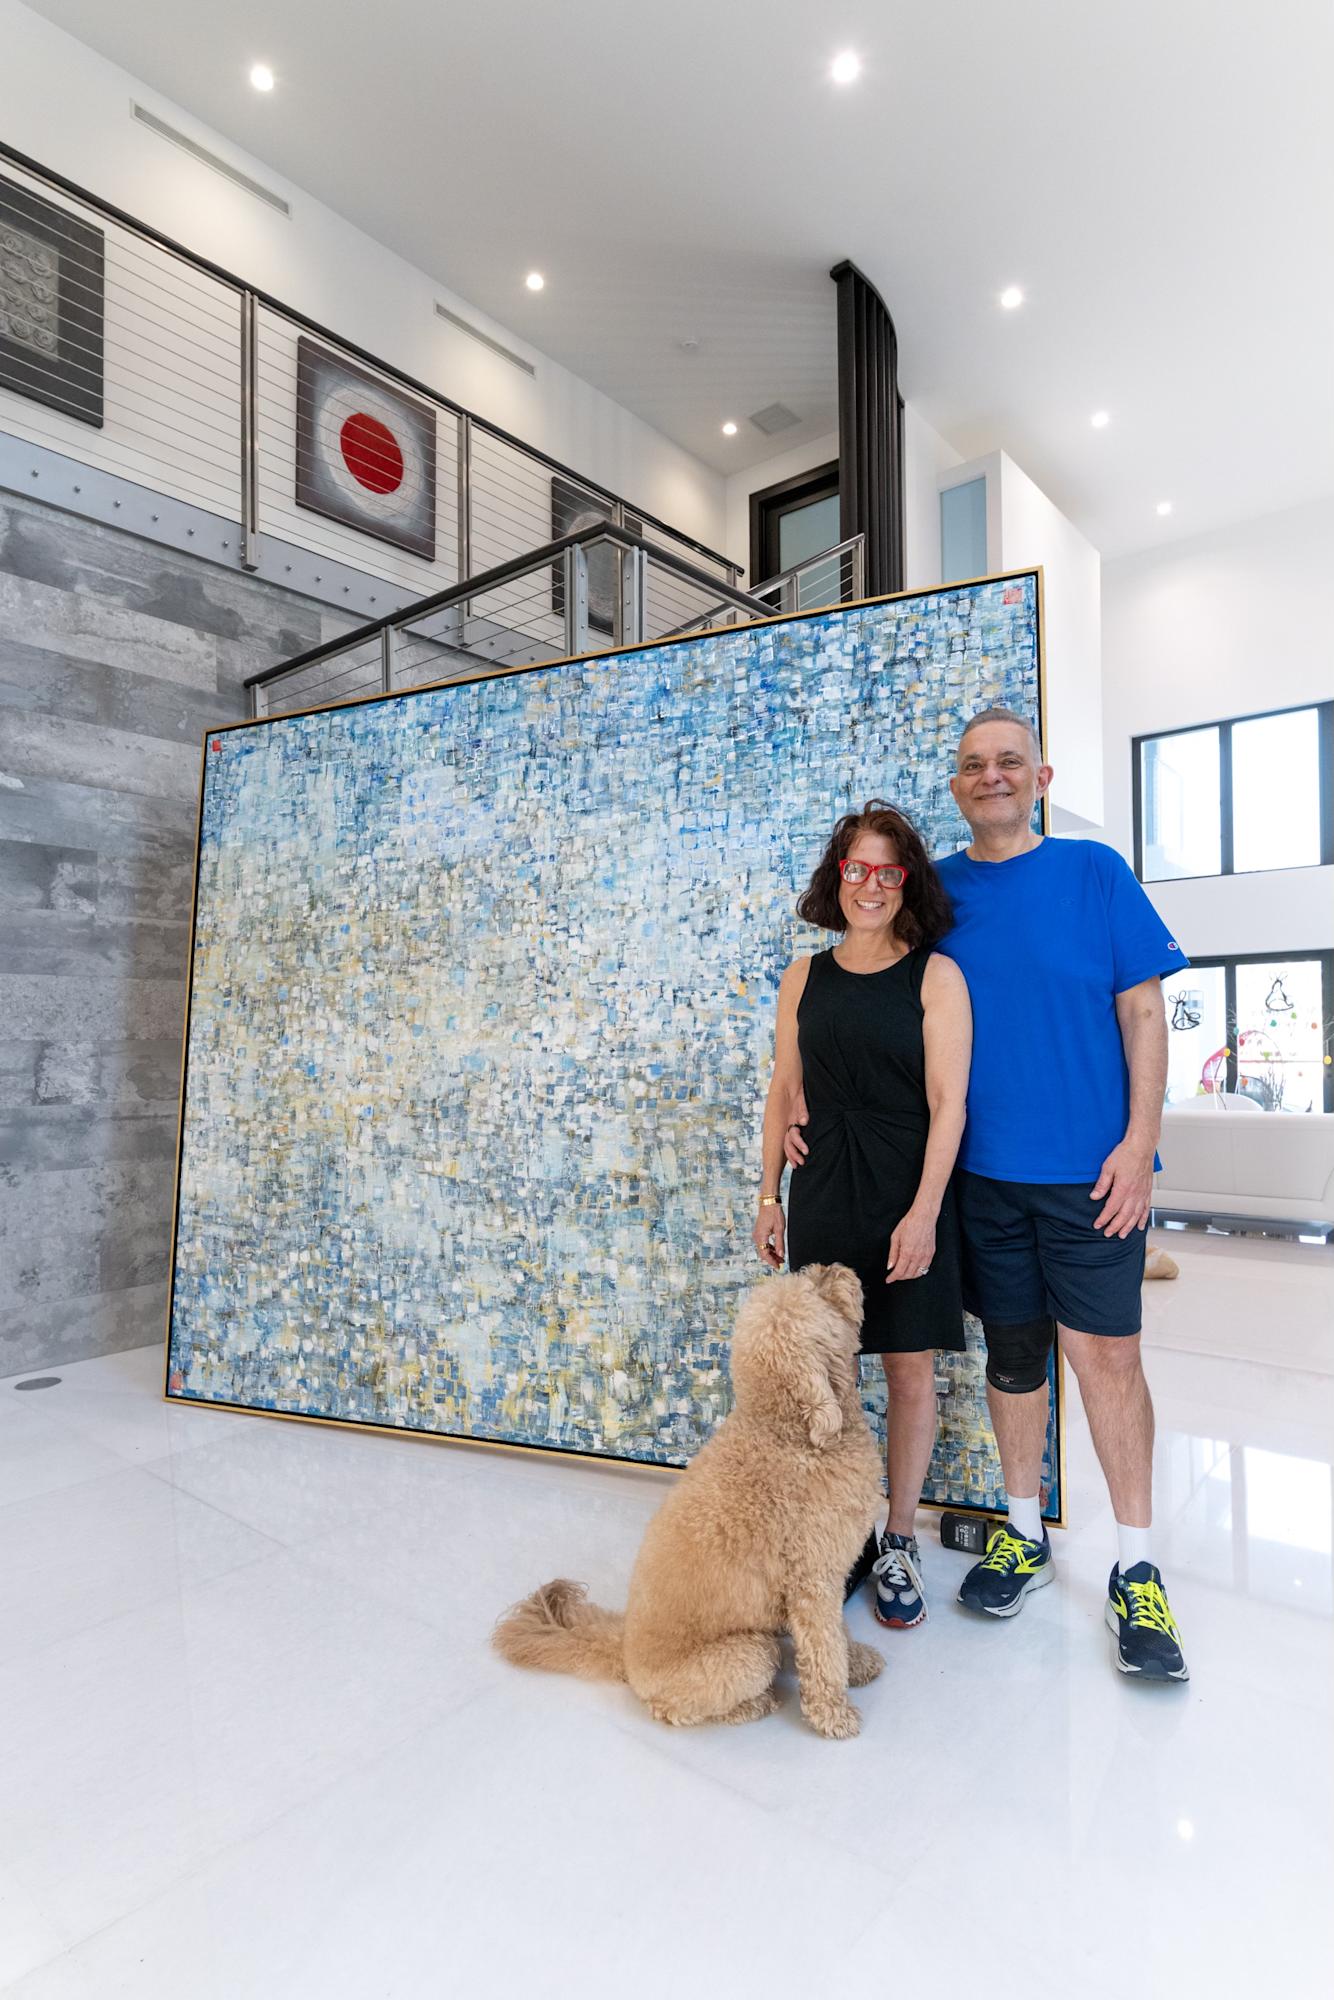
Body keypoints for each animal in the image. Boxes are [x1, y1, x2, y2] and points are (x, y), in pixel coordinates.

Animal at [493, 1263, 886, 1738]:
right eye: (814, 1291)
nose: (837, 1268)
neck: (789, 1432)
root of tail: (624, 1654)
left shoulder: (828, 1577)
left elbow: (840, 1636)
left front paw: (858, 1662)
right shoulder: (814, 1584)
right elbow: (825, 1652)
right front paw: (834, 1714)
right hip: (749, 1654)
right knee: (673, 1710)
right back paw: (756, 1704)